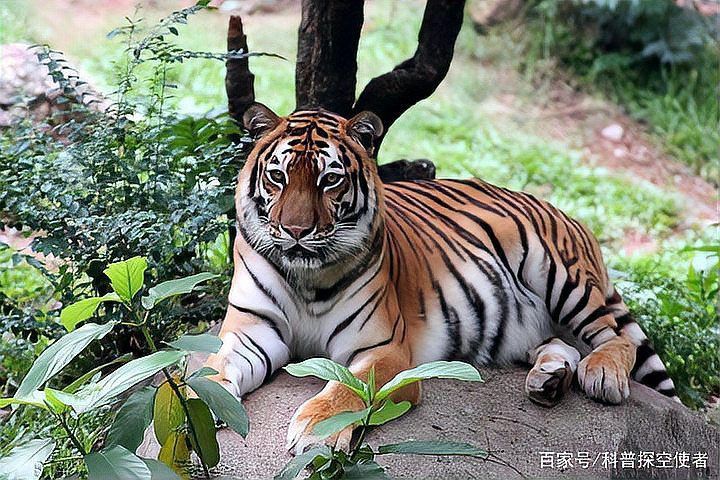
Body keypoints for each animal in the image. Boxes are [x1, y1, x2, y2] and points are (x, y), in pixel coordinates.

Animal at [204, 103, 679, 455]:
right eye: (278, 176)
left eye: (330, 180)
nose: (296, 231)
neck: (307, 277)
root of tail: (569, 215)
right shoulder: (250, 331)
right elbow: (213, 368)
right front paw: (203, 403)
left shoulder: (383, 350)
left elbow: (346, 389)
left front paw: (317, 431)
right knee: (562, 343)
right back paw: (549, 380)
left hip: (561, 275)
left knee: (614, 337)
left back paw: (602, 375)